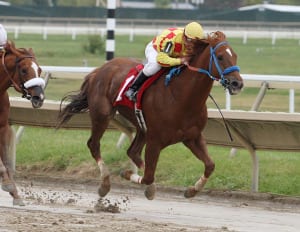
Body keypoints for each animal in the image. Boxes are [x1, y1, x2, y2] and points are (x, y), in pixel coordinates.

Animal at [56, 31, 244, 200]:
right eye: (220, 57)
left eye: (235, 56)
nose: (237, 83)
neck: (181, 97)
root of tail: (99, 70)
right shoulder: (155, 141)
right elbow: (147, 176)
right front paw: (127, 175)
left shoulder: (193, 137)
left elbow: (210, 165)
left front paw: (192, 190)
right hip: (102, 115)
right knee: (94, 145)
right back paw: (105, 184)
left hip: (141, 126)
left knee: (132, 152)